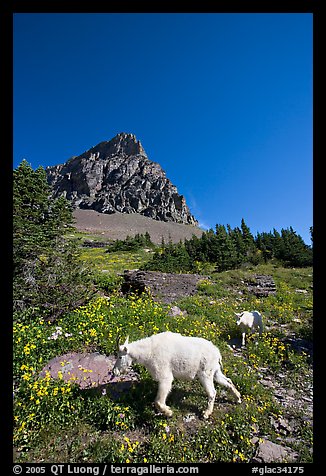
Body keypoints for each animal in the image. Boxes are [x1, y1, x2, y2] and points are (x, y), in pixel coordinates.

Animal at [112, 330, 242, 416]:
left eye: (119, 356)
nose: (114, 371)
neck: (148, 352)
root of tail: (217, 353)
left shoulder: (165, 375)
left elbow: (158, 401)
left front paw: (168, 412)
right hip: (215, 371)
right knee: (228, 381)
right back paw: (238, 398)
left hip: (205, 373)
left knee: (212, 392)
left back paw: (206, 413)